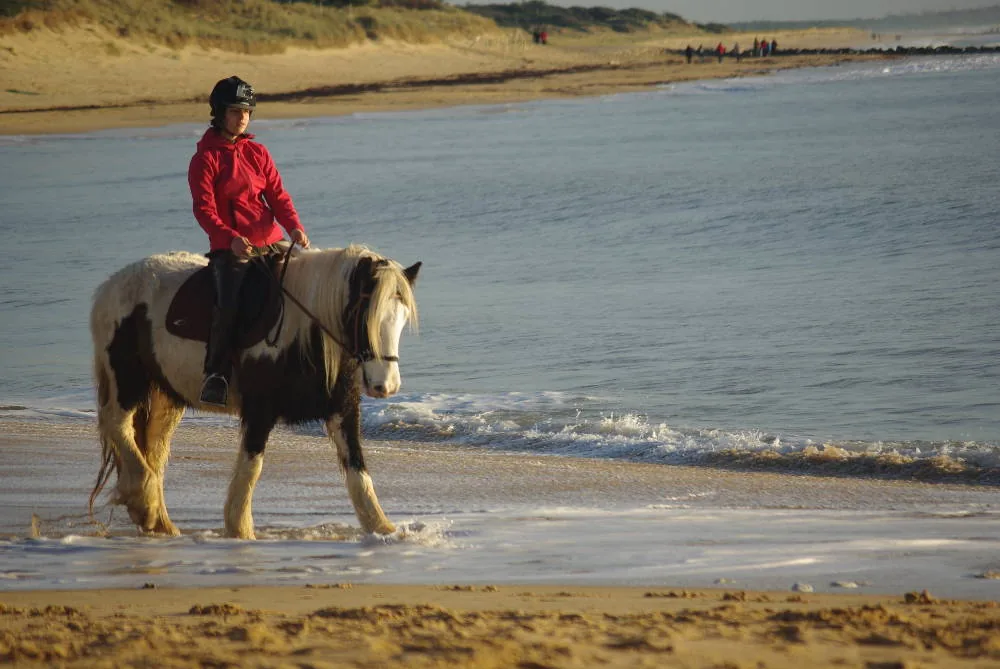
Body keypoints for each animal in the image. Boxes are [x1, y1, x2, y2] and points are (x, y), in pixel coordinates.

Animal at [88, 243, 420, 539]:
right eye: (366, 316)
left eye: (402, 319)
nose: (385, 385)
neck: (303, 331)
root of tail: (108, 287)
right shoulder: (260, 410)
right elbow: (251, 466)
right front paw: (240, 529)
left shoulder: (343, 410)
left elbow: (357, 470)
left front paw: (383, 528)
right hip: (126, 380)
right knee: (117, 424)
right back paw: (143, 503)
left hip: (165, 396)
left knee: (154, 448)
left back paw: (158, 519)